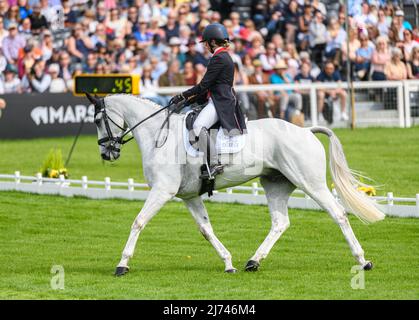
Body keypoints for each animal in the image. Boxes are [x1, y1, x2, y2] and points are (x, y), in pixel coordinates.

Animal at [87, 92, 386, 276]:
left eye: (99, 120)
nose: (107, 153)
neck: (160, 135)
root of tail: (305, 130)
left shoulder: (163, 191)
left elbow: (138, 222)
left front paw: (122, 264)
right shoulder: (189, 196)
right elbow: (206, 230)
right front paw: (228, 263)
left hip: (309, 183)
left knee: (338, 214)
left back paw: (363, 260)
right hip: (275, 184)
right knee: (280, 222)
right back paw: (253, 262)